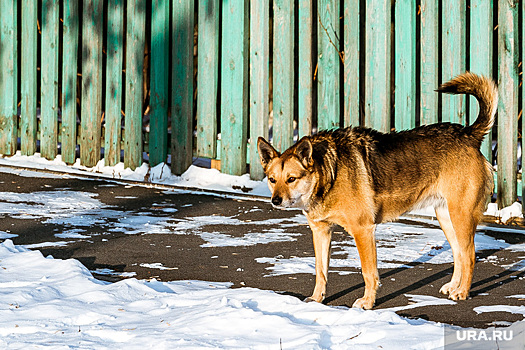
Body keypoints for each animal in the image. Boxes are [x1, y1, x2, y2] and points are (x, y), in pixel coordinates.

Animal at [256, 72, 496, 308]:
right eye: (272, 179)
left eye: (291, 179)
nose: (275, 201)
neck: (328, 174)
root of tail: (468, 134)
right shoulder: (320, 231)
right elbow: (320, 271)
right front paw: (316, 299)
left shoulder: (363, 230)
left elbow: (368, 273)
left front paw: (368, 302)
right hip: (446, 217)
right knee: (459, 254)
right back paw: (454, 286)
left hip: (460, 216)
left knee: (470, 255)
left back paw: (462, 292)